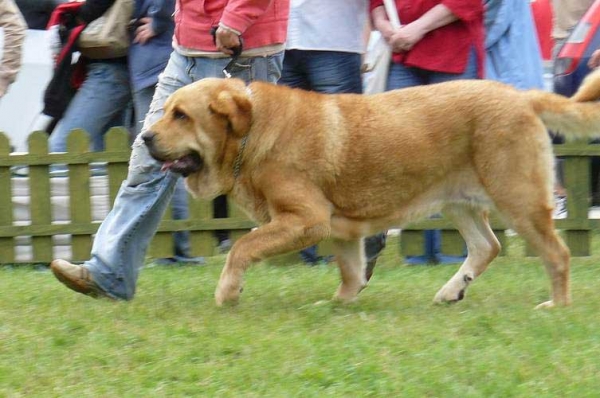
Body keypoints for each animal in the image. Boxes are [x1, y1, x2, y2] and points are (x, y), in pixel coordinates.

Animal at [142, 69, 600, 308]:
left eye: (181, 115)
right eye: (165, 111)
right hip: (460, 201)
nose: (145, 137)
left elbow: (242, 245)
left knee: (557, 254)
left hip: (519, 199)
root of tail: (523, 96)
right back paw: (452, 291)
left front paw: (228, 292)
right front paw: (338, 304)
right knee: (487, 246)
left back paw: (556, 305)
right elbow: (349, 269)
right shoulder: (340, 228)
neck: (250, 133)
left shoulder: (305, 219)